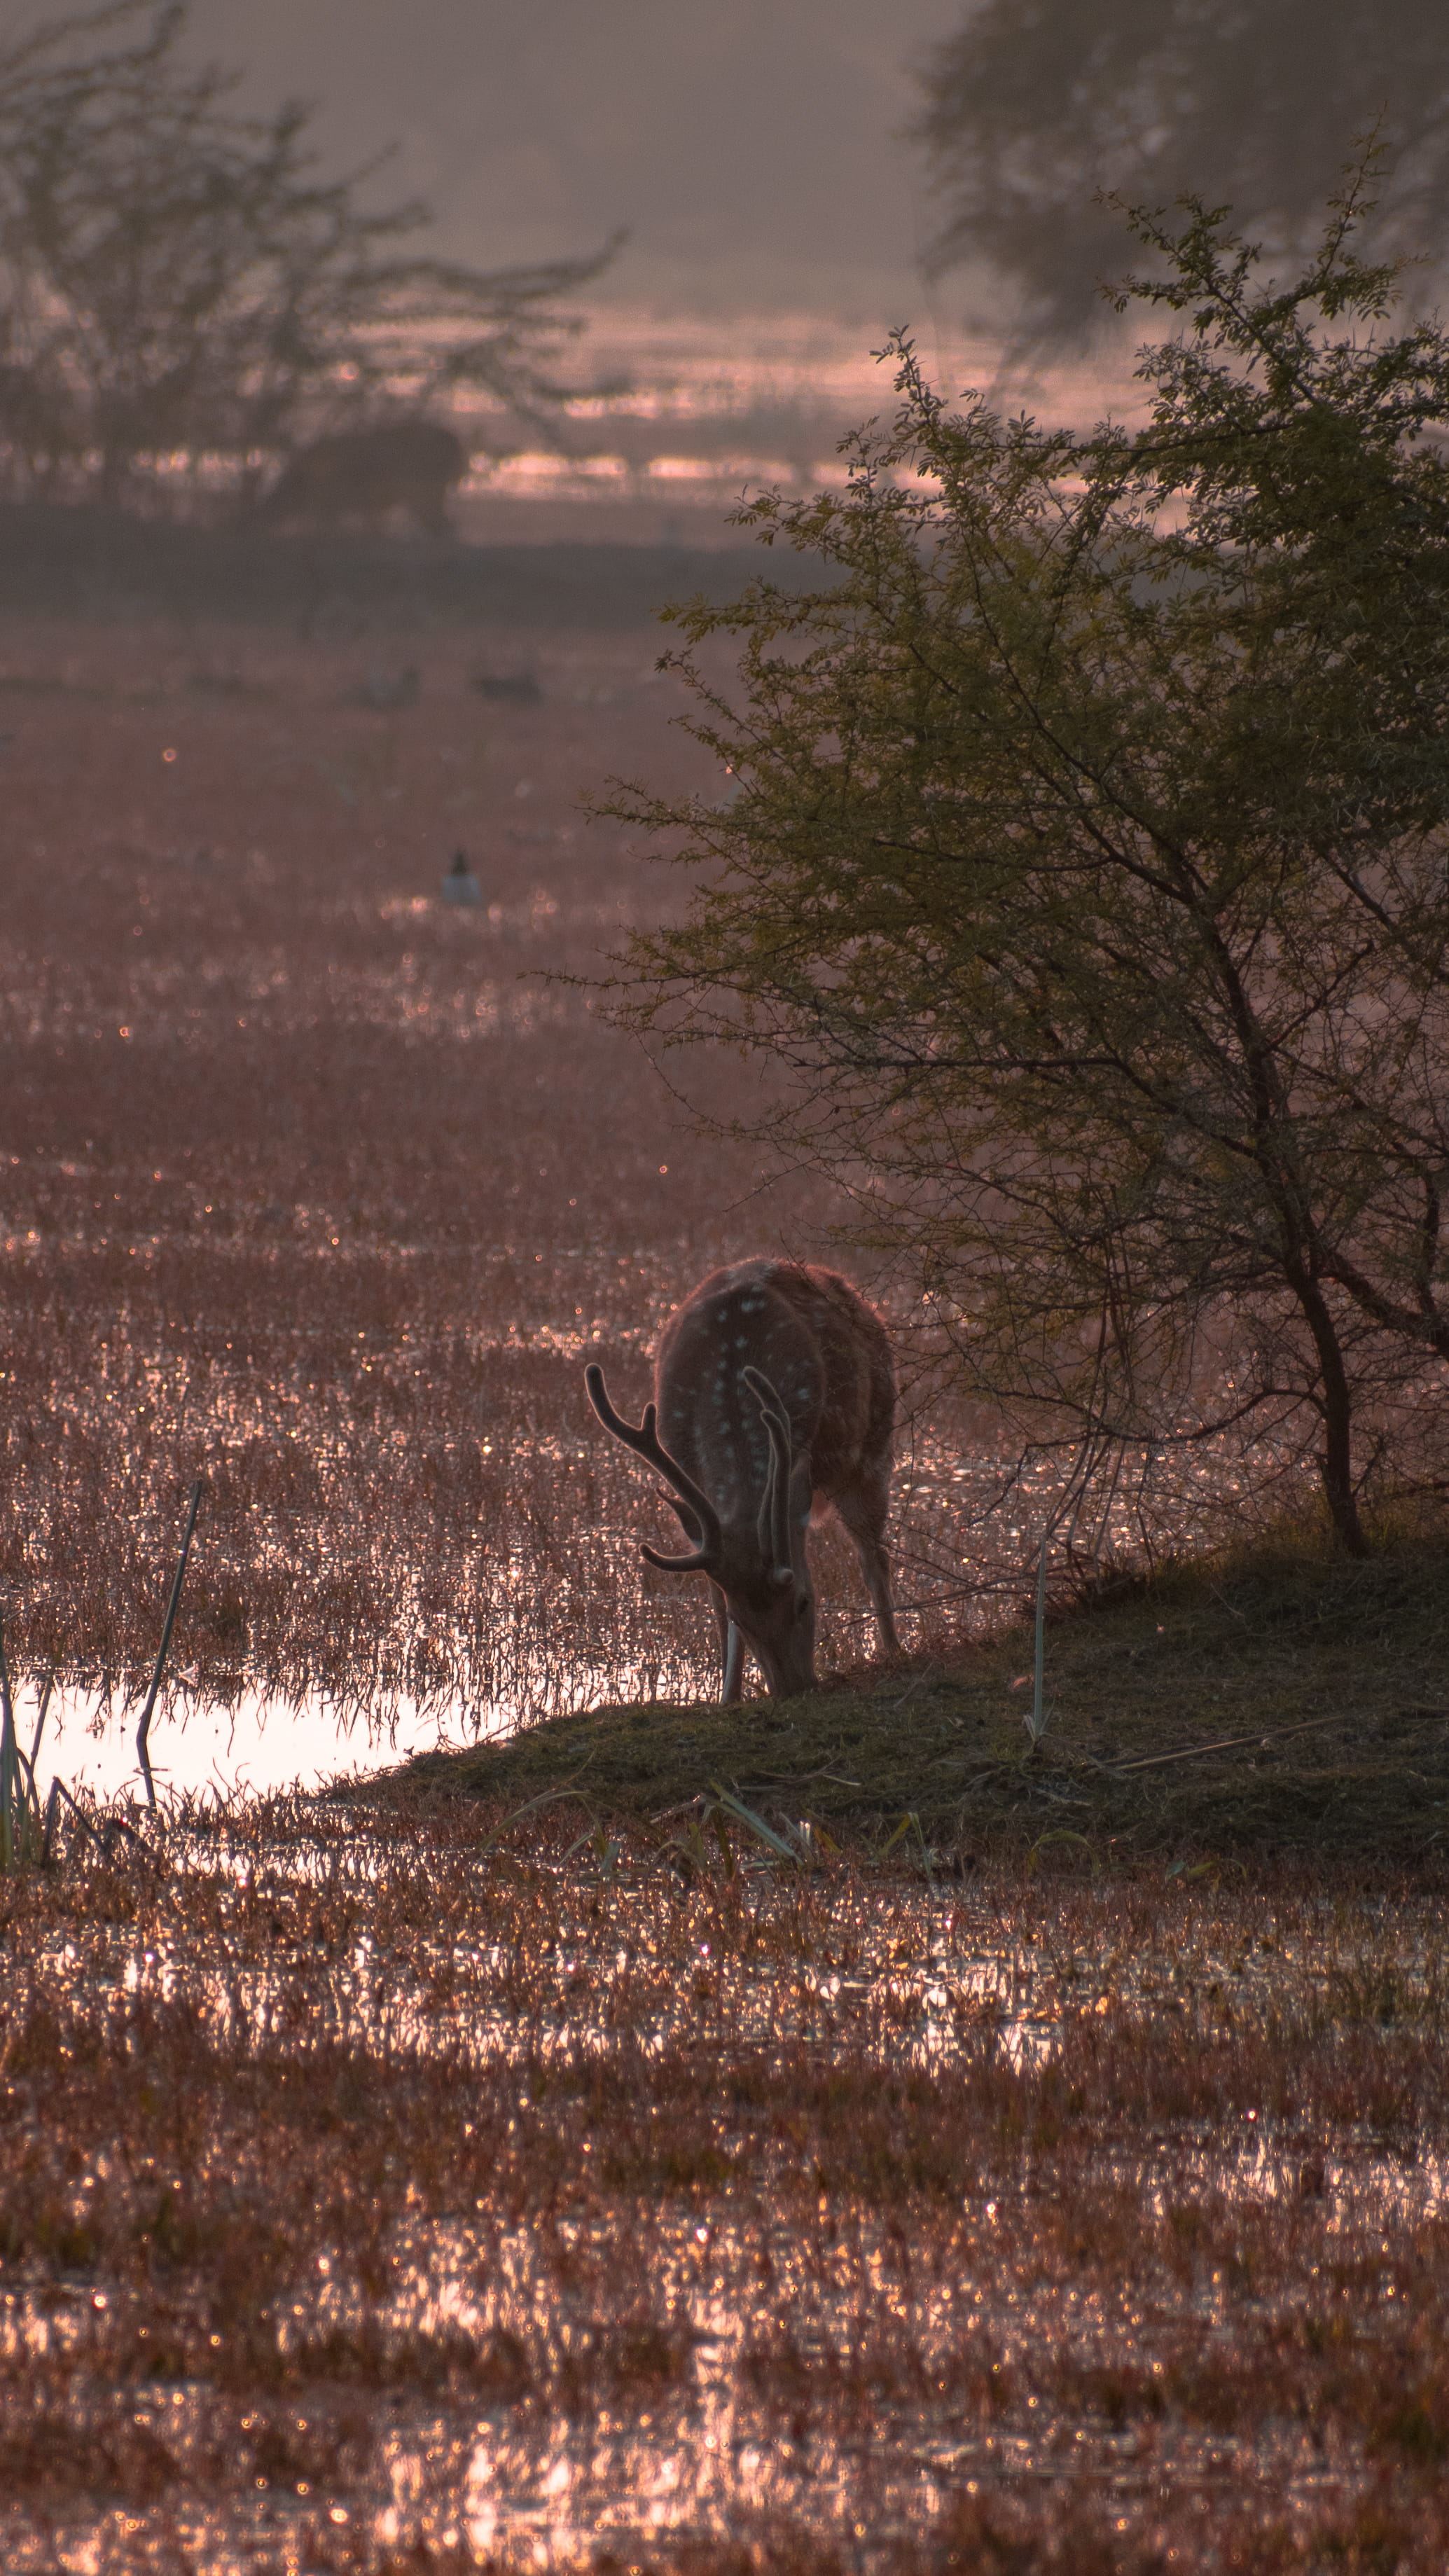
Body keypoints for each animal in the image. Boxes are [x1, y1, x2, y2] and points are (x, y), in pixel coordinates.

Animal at [585, 1259, 899, 1701]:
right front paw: (726, 1695)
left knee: (874, 1558)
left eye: (805, 1600)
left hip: (874, 1449)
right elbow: (714, 1600)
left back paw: (894, 1650)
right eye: (741, 1620)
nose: (793, 1688)